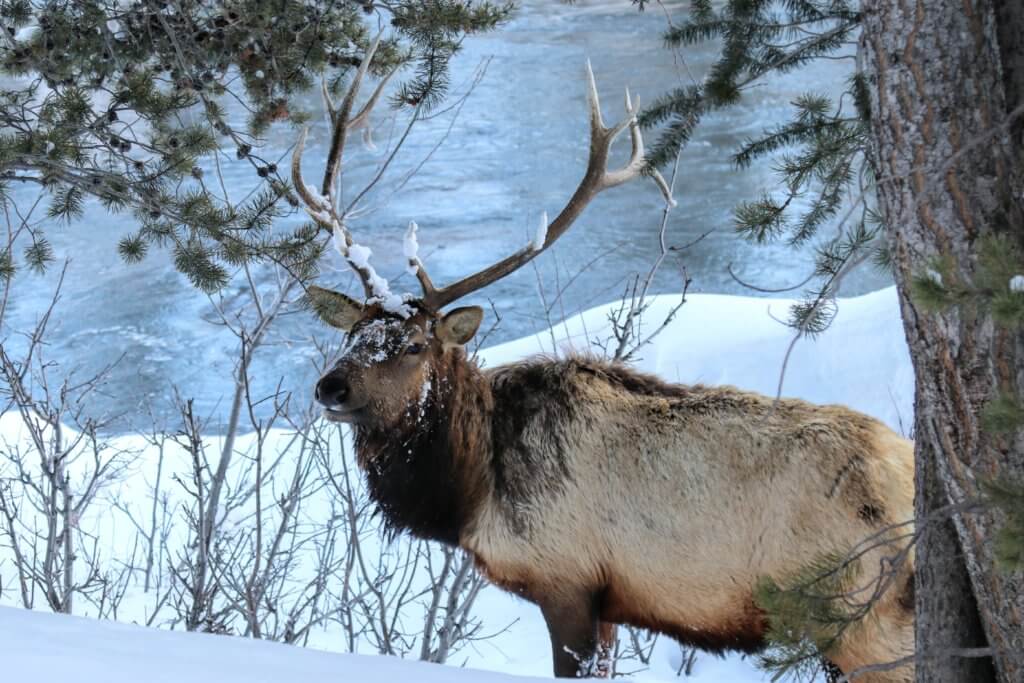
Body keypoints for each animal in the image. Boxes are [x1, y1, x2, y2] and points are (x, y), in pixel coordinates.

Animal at [294, 34, 915, 683]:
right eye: (352, 334)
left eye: (415, 345)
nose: (330, 387)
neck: (470, 491)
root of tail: (910, 478)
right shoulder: (614, 602)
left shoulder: (565, 578)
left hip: (860, 615)